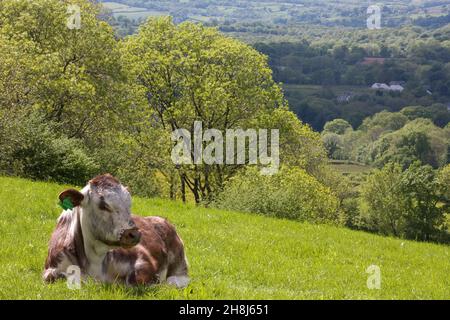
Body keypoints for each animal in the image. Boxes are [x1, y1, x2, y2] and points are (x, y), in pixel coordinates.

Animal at [43, 174, 189, 288]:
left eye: (129, 204)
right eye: (103, 205)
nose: (134, 234)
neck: (94, 262)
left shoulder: (144, 259)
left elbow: (138, 279)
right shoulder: (51, 266)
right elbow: (52, 277)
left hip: (179, 258)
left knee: (178, 278)